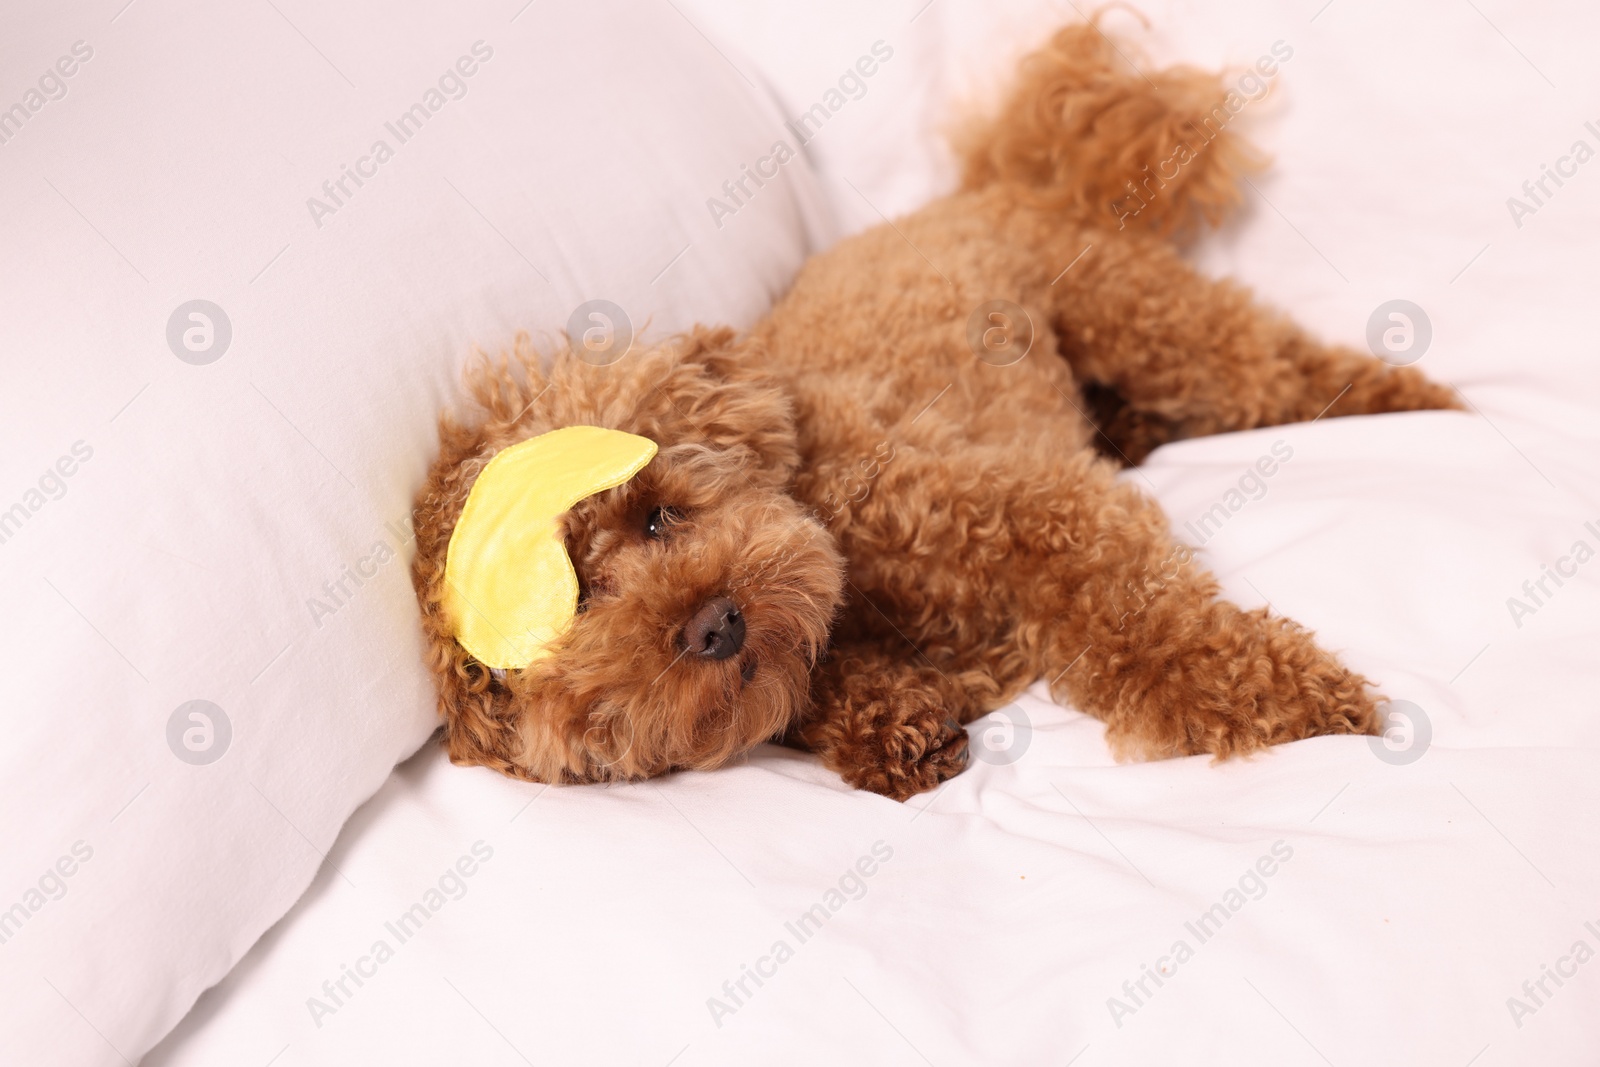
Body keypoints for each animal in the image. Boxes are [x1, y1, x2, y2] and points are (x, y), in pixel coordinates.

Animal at [409, 18, 1465, 799]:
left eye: (660, 514)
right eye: (576, 613)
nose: (713, 625)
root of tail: (994, 184)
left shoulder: (1039, 512)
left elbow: (1148, 621)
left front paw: (1297, 702)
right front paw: (894, 729)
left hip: (1147, 322)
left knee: (1273, 368)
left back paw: (1416, 397)